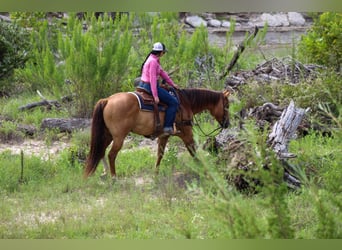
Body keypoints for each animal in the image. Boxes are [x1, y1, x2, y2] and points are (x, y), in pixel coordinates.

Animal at [84, 88, 231, 178]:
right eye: (227, 106)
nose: (227, 124)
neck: (185, 103)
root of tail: (107, 100)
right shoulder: (186, 134)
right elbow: (193, 152)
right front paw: (204, 170)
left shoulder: (164, 135)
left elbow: (160, 154)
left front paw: (155, 174)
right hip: (119, 137)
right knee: (111, 154)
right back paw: (114, 177)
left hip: (108, 135)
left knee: (101, 151)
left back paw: (104, 173)